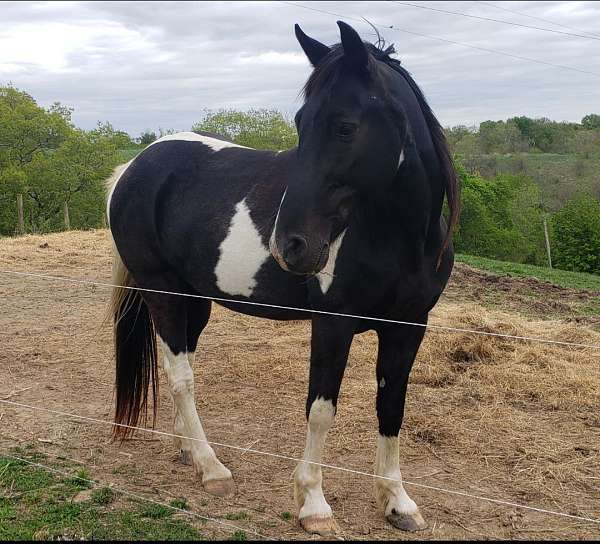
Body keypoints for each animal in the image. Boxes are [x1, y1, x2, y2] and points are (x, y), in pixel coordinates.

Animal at [105, 20, 460, 536]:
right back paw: (212, 468)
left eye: (345, 126)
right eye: (300, 123)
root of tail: (133, 167)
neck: (398, 237)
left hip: (195, 300)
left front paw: (398, 503)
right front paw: (313, 505)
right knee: (181, 376)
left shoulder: (409, 327)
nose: (289, 245)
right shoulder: (332, 324)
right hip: (163, 292)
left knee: (181, 367)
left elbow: (392, 407)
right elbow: (321, 410)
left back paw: (188, 449)